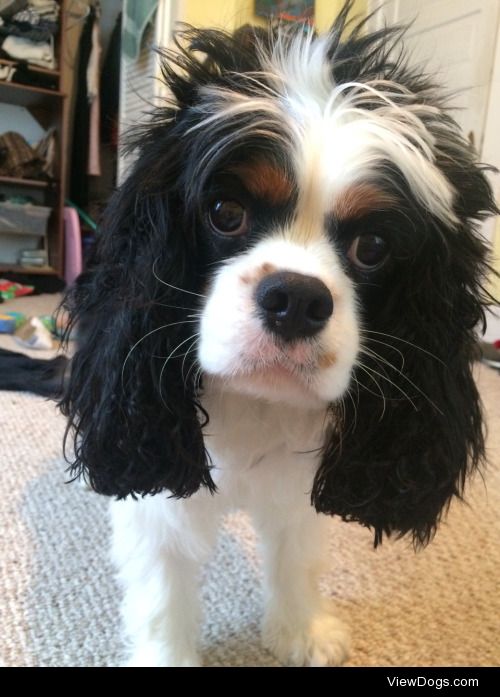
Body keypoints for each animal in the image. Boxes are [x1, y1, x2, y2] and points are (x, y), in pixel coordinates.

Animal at [3, 0, 496, 664]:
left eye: (372, 247)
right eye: (225, 214)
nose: (297, 299)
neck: (256, 404)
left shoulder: (301, 486)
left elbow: (296, 557)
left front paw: (299, 631)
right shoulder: (157, 494)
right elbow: (162, 592)